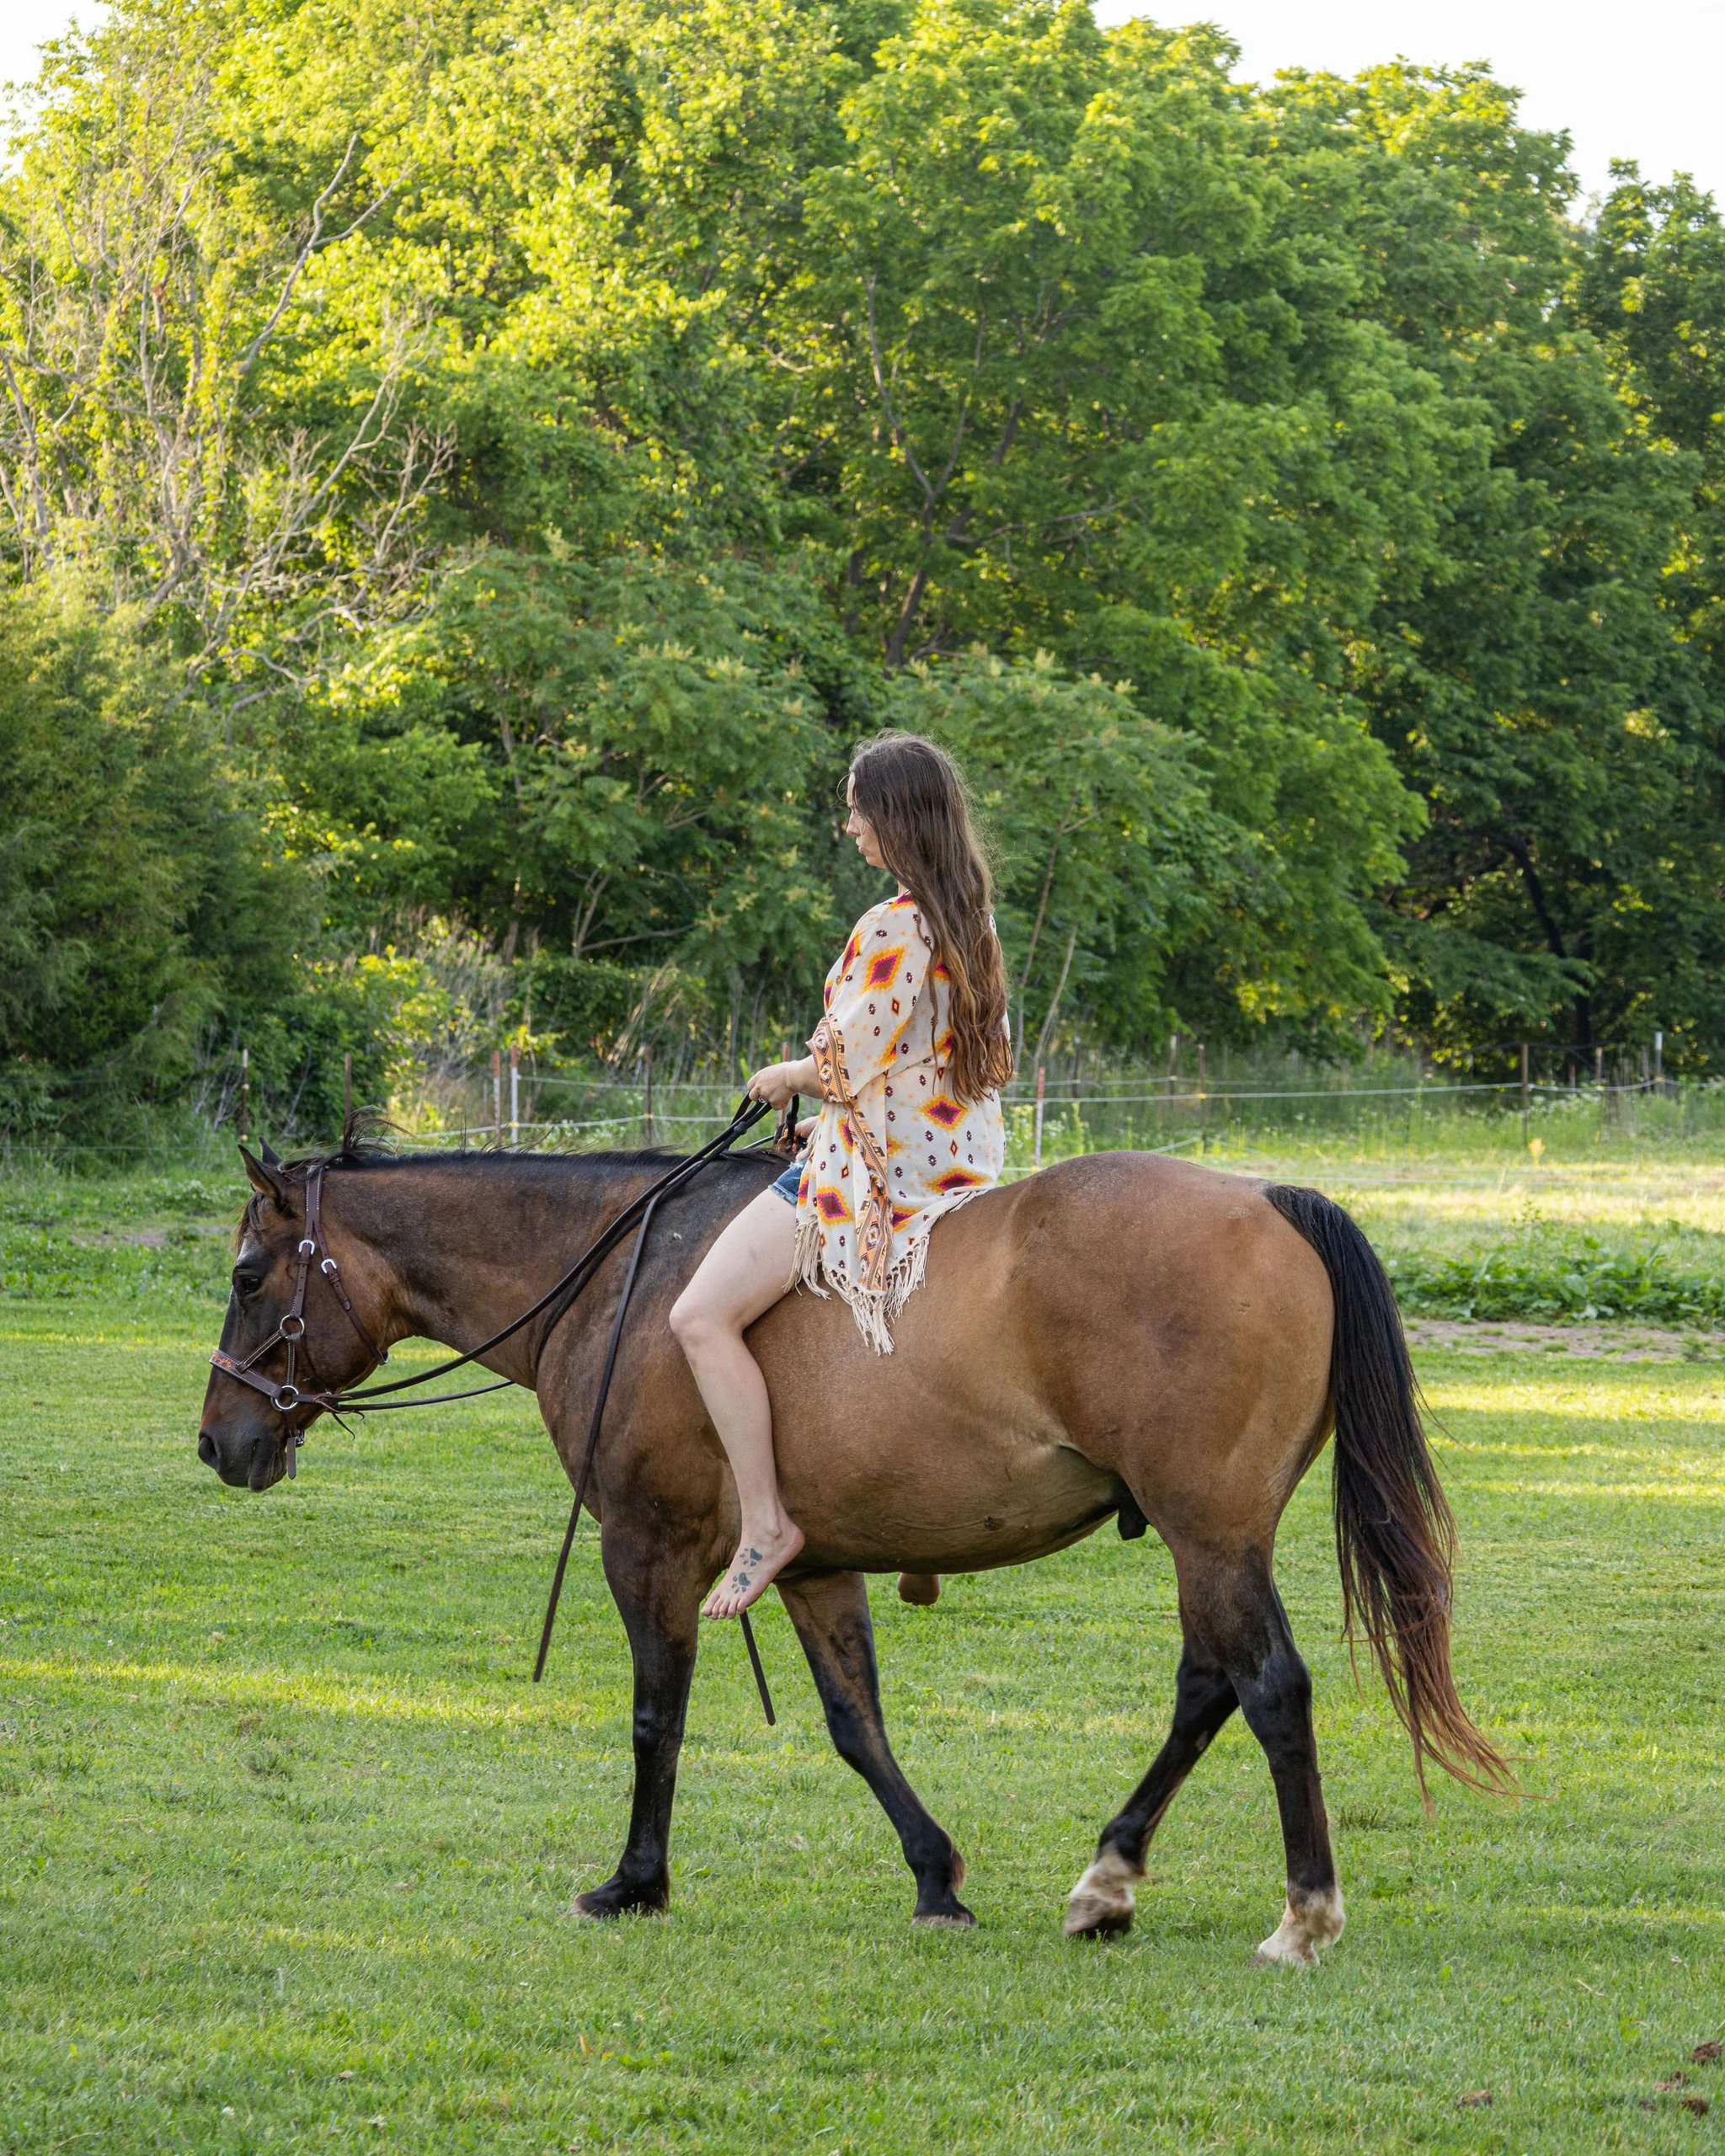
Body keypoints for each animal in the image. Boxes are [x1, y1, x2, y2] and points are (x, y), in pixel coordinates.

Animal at [196, 1133, 1508, 1962]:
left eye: (249, 1273)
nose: (218, 1441)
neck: (619, 1277)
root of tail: (1266, 1200)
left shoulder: (649, 1547)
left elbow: (656, 1716)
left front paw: (635, 1882)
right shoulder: (816, 1564)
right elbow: (854, 1724)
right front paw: (935, 1878)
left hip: (1211, 1533)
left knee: (1270, 1689)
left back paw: (1302, 1915)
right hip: (1211, 1542)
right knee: (1209, 1687)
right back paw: (1107, 1879)